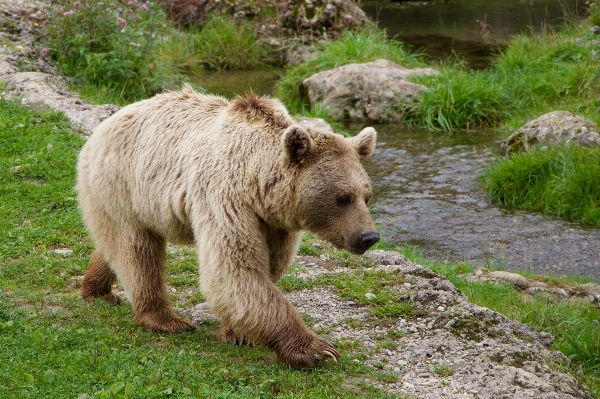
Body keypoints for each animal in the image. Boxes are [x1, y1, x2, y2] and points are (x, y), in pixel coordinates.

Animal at [76, 85, 380, 368]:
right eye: (343, 198)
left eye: (366, 195)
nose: (369, 236)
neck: (257, 183)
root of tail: (104, 125)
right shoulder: (224, 198)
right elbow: (234, 267)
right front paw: (317, 349)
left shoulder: (274, 221)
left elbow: (267, 267)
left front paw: (238, 333)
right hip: (124, 184)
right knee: (137, 251)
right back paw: (165, 318)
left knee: (115, 245)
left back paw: (98, 290)